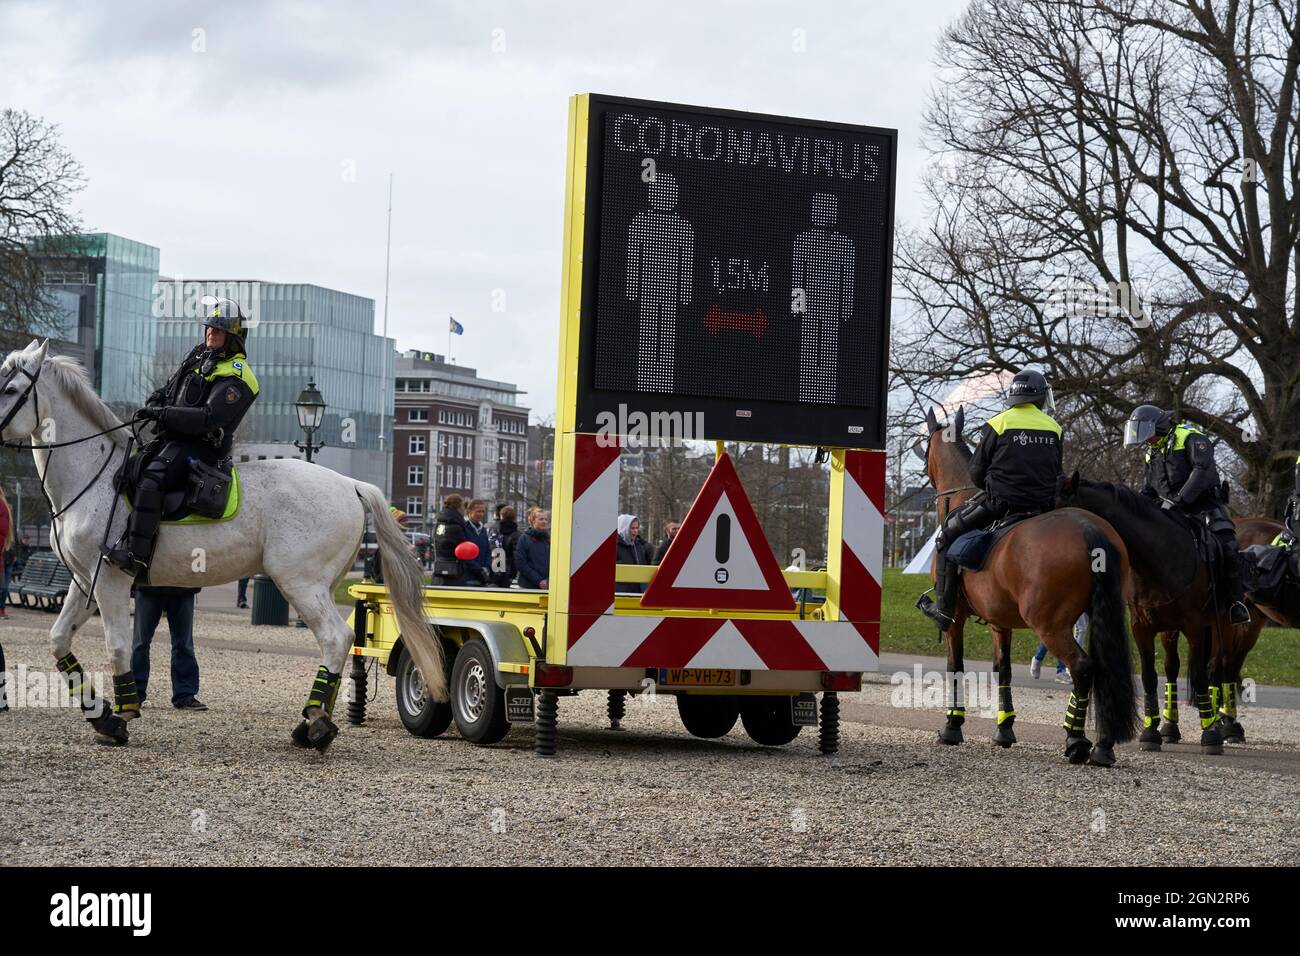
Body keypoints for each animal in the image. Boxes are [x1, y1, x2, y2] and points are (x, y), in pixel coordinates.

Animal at [0, 340, 447, 749]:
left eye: (11, 388)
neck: (95, 475)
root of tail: (350, 484)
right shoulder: (83, 581)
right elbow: (59, 639)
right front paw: (99, 713)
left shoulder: (110, 580)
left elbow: (118, 647)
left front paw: (120, 716)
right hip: (316, 583)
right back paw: (312, 722)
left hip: (301, 582)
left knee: (336, 639)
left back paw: (317, 723)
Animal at [920, 408, 1133, 764]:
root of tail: (1089, 529)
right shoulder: (1000, 621)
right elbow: (1002, 669)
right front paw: (1004, 729)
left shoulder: (956, 620)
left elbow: (955, 666)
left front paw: (952, 726)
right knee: (1106, 671)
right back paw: (1103, 746)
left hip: (1051, 625)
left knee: (1082, 667)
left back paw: (1076, 739)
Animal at [1050, 476, 1232, 749]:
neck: (1159, 558)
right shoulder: (1142, 627)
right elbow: (1149, 677)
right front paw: (1151, 731)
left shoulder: (1195, 626)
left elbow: (1201, 676)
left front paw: (1209, 735)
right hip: (1170, 629)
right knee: (1172, 667)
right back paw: (1171, 727)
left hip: (1225, 626)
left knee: (1219, 667)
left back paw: (1223, 726)